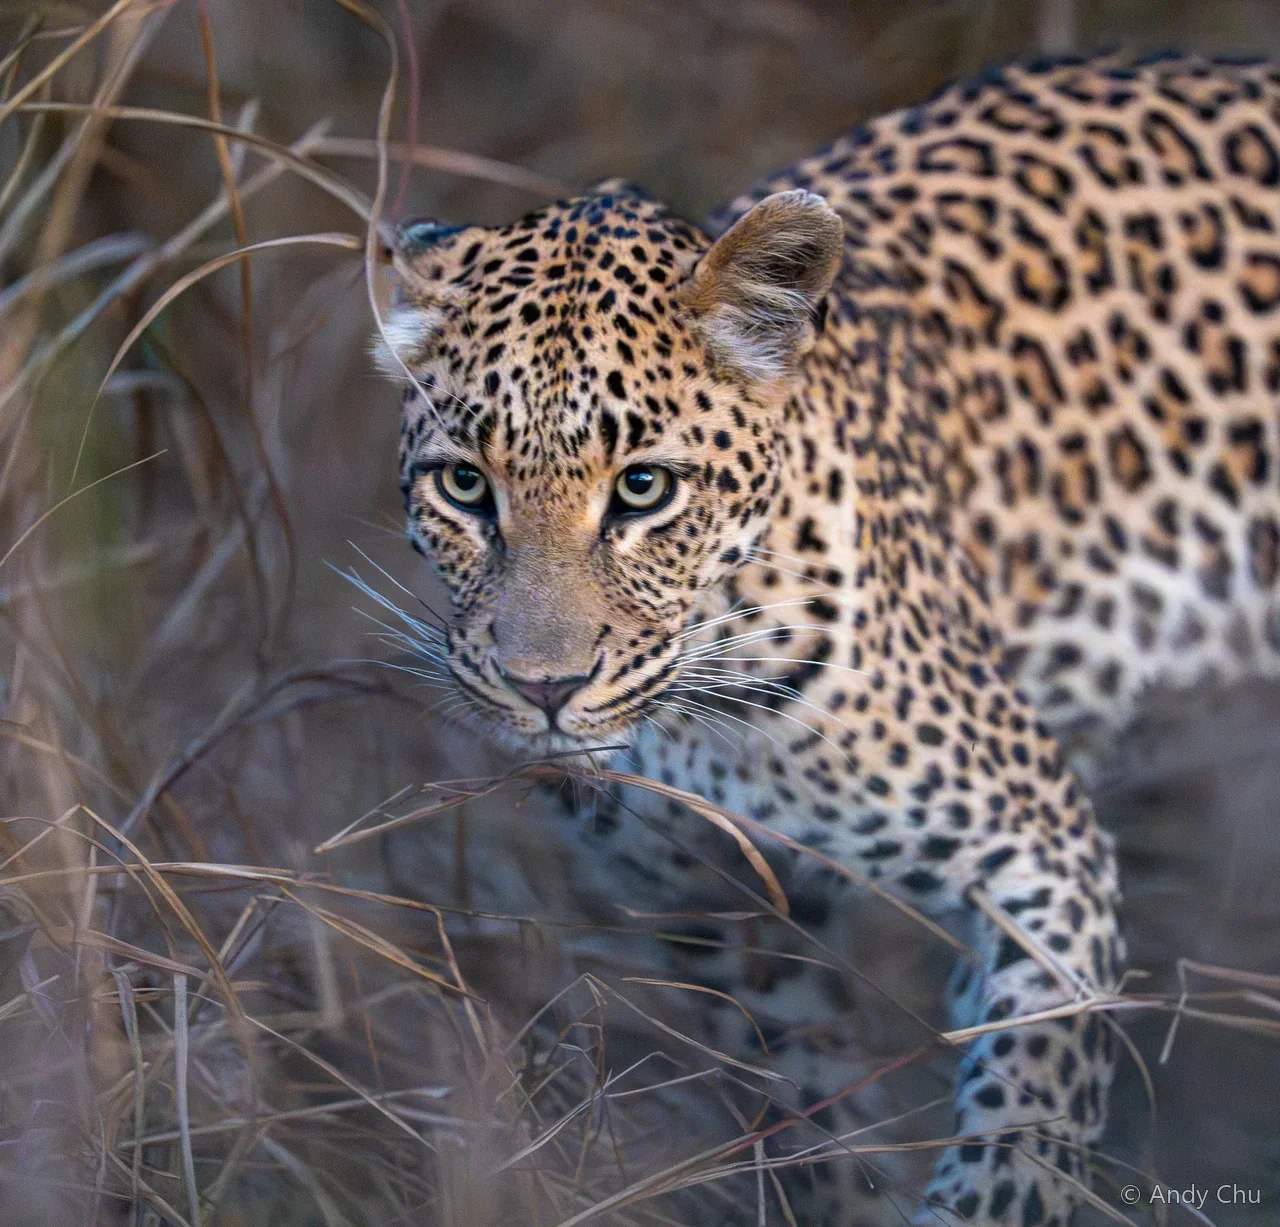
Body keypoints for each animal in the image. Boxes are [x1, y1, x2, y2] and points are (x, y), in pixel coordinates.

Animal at [370, 51, 1280, 1225]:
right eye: (465, 488)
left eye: (644, 489)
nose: (544, 688)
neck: (699, 717)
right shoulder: (724, 921)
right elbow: (808, 1119)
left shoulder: (1043, 852)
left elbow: (1023, 1122)